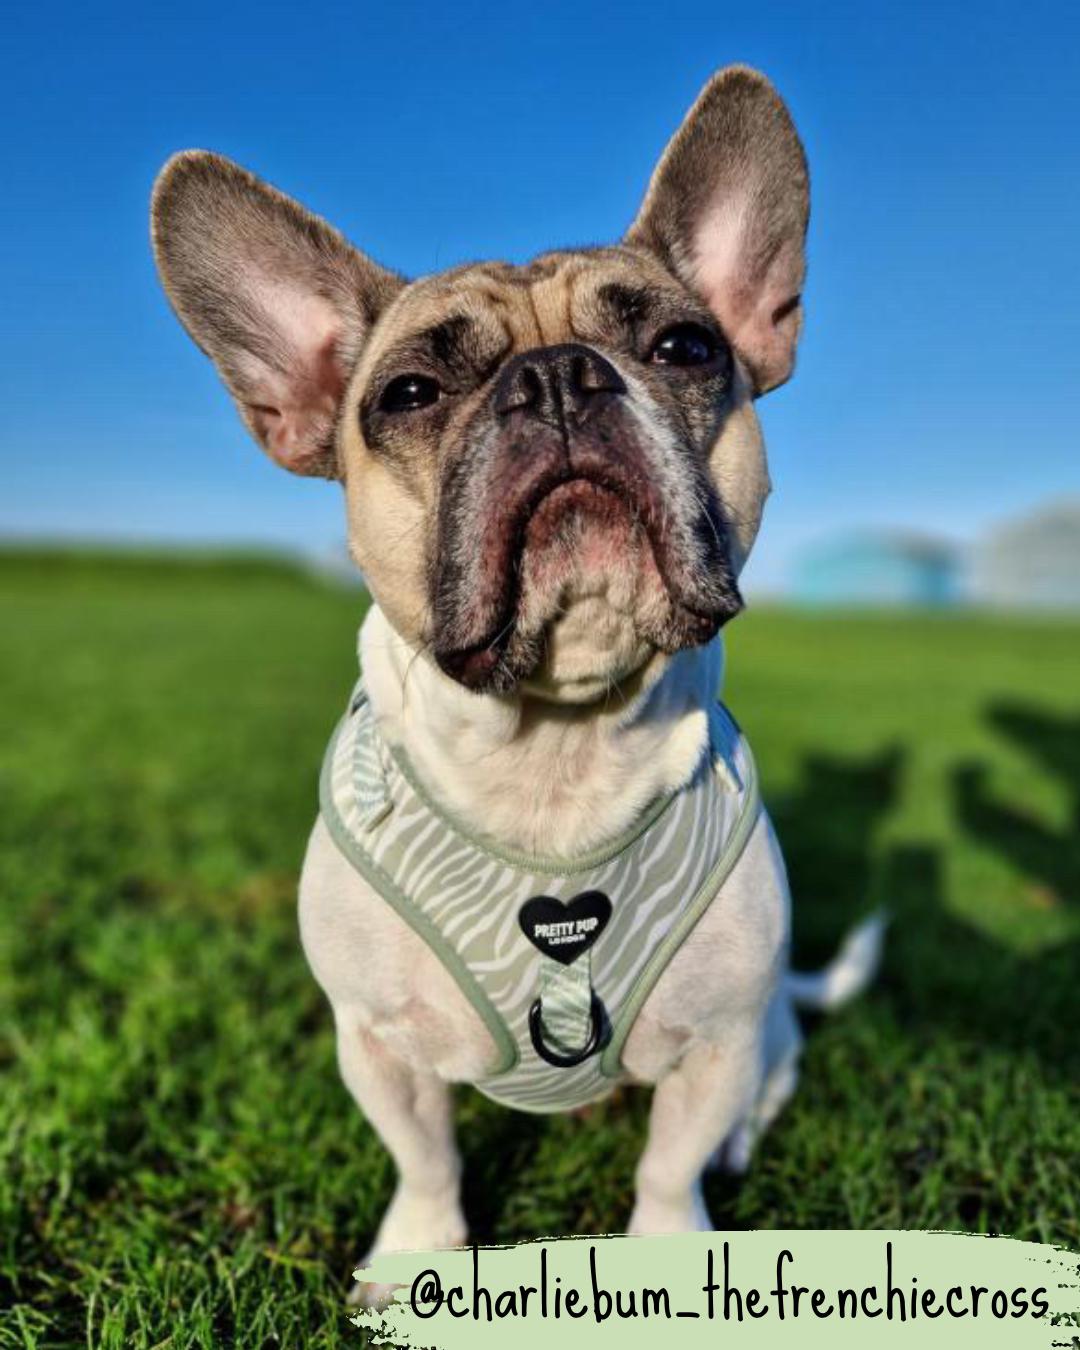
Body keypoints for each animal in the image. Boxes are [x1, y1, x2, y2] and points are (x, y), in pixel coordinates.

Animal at [147, 63, 880, 1296]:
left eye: (684, 349)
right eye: (407, 393)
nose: (556, 378)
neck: (556, 745)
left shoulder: (720, 1038)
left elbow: (670, 1164)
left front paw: (671, 1250)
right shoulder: (376, 1042)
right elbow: (425, 1156)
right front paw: (416, 1255)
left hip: (767, 1023)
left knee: (767, 1081)